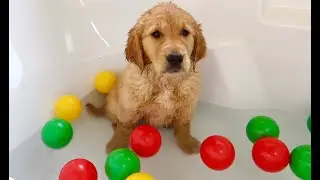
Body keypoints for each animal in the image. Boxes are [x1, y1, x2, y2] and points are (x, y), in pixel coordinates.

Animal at [86, 1, 206, 155]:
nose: (175, 58)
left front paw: (187, 142)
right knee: (114, 117)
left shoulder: (187, 105)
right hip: (114, 103)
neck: (165, 81)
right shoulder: (129, 106)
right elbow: (124, 126)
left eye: (185, 32)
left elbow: (184, 125)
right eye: (156, 34)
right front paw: (117, 146)